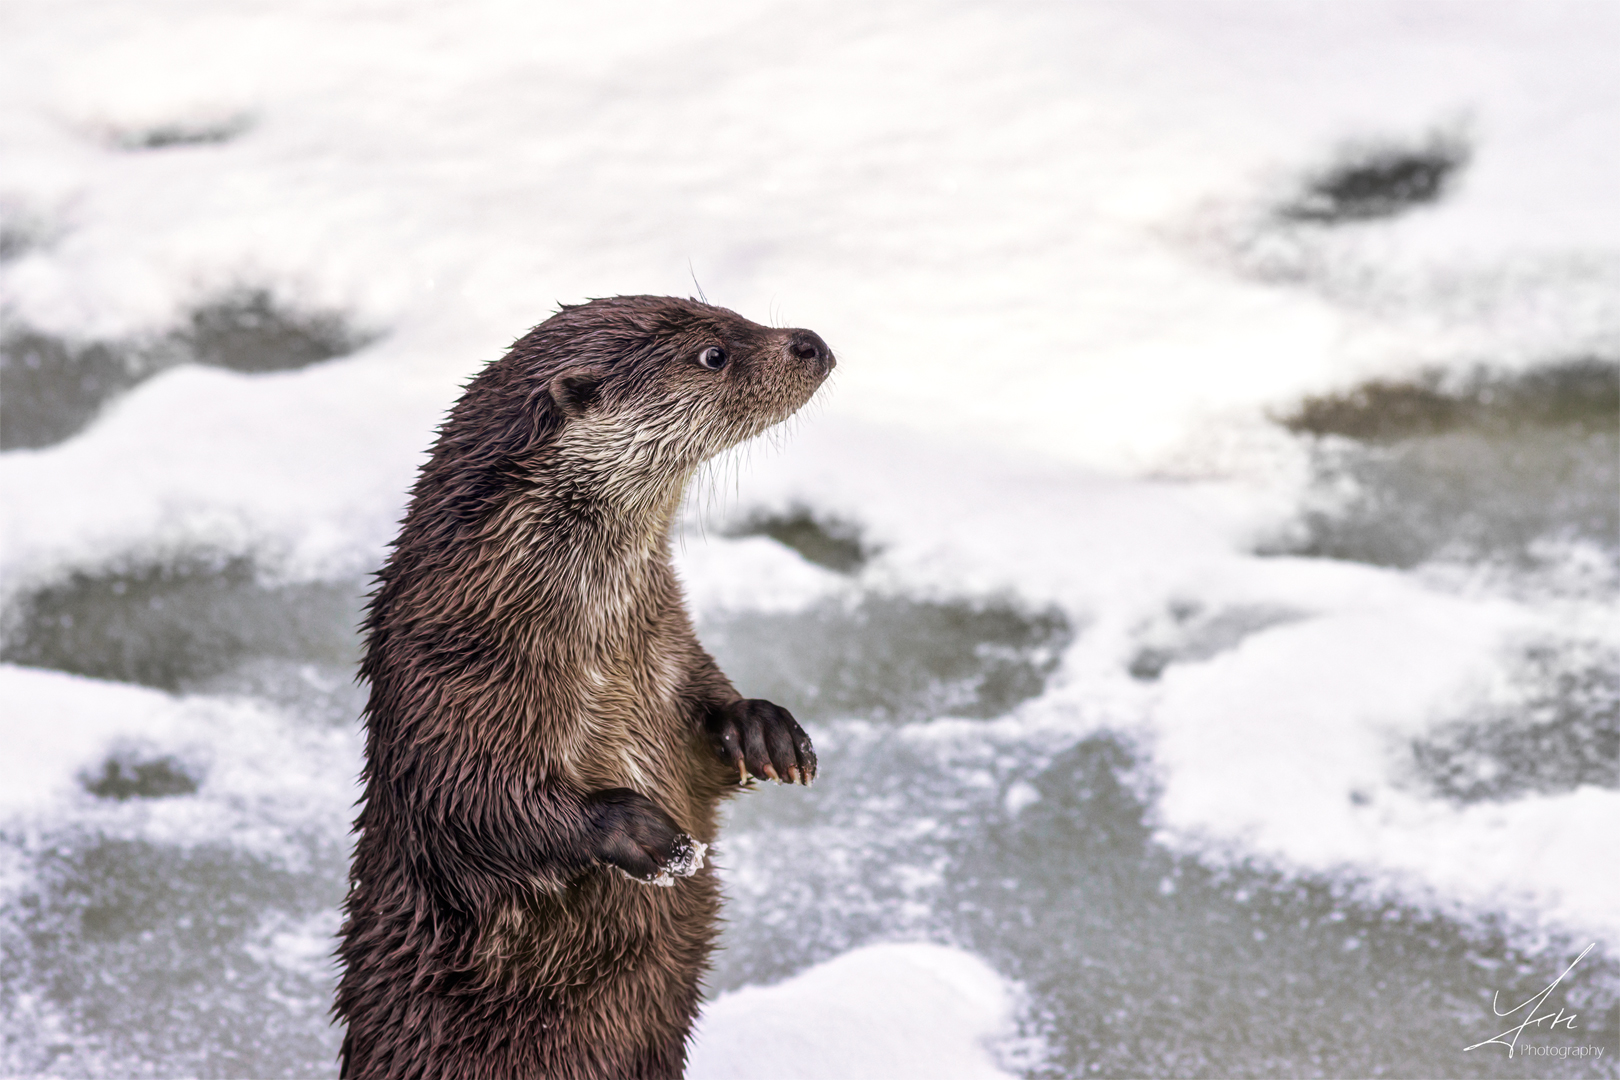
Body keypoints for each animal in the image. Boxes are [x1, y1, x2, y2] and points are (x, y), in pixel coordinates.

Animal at [332, 296, 835, 1080]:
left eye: (731, 311)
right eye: (713, 353)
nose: (810, 342)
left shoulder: (669, 652)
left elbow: (708, 731)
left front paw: (764, 730)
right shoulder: (440, 683)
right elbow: (465, 801)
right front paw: (638, 831)